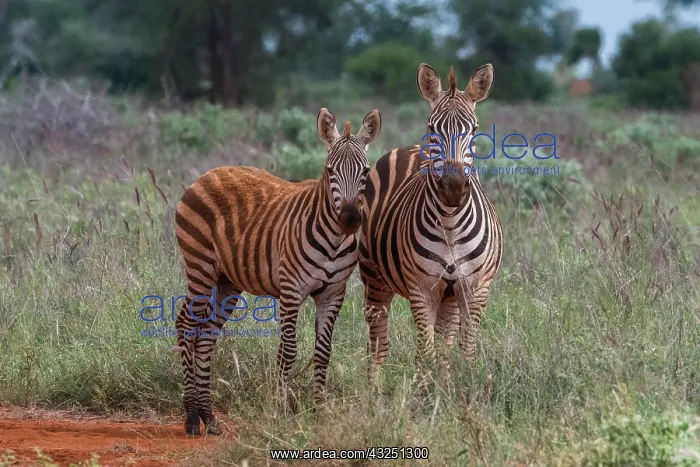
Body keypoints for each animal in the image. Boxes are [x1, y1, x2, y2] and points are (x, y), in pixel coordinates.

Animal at [174, 107, 382, 435]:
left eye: (365, 172)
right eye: (330, 172)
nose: (349, 220)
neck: (334, 239)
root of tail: (209, 173)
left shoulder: (333, 294)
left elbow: (323, 352)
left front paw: (319, 411)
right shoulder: (291, 290)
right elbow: (289, 350)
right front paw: (280, 409)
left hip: (226, 281)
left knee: (206, 334)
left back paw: (209, 416)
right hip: (200, 266)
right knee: (186, 325)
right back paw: (193, 417)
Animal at [358, 63, 503, 386]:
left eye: (474, 129)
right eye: (432, 128)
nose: (453, 186)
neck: (450, 224)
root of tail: (409, 148)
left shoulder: (475, 289)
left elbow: (464, 350)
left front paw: (461, 390)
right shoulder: (421, 290)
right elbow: (425, 352)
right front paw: (426, 393)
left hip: (448, 296)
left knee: (444, 342)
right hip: (373, 277)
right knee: (378, 343)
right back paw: (372, 391)